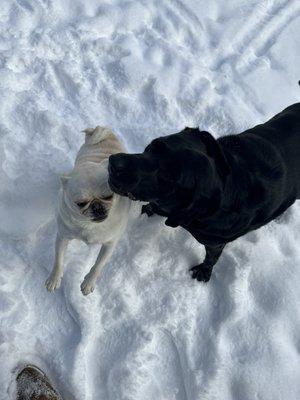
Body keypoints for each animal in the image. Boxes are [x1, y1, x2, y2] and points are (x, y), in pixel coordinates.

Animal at [44, 126, 131, 296]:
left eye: (108, 196)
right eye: (81, 203)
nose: (97, 206)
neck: (89, 225)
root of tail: (106, 133)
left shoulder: (110, 244)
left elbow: (98, 265)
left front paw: (88, 282)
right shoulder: (62, 236)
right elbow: (58, 259)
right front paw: (54, 278)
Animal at [109, 104, 300, 282]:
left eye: (167, 178)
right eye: (154, 145)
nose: (114, 163)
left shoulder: (216, 243)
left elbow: (212, 257)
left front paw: (204, 271)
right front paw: (151, 208)